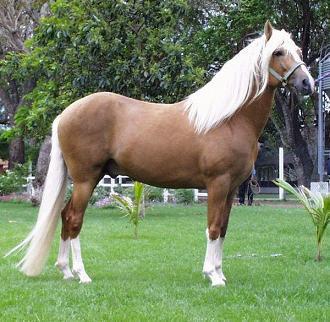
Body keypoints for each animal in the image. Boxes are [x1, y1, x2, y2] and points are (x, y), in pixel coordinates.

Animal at [6, 20, 314, 286]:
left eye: (298, 51)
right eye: (278, 52)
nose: (307, 84)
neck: (229, 119)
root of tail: (66, 114)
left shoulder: (231, 190)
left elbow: (223, 229)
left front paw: (219, 273)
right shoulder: (217, 184)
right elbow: (213, 227)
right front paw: (212, 277)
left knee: (64, 215)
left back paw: (66, 271)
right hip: (86, 179)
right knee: (73, 218)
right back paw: (81, 274)